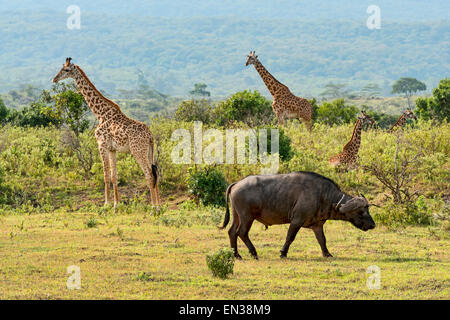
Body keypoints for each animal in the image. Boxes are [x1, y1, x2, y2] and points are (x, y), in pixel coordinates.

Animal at [52, 57, 161, 209]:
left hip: (138, 151)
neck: (100, 113)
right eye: (61, 68)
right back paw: (159, 205)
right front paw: (116, 204)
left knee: (149, 175)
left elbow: (105, 175)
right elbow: (114, 176)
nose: (54, 79)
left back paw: (153, 207)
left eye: (66, 70)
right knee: (155, 173)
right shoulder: (112, 149)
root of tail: (150, 136)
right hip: (149, 151)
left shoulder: (101, 145)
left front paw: (106, 204)